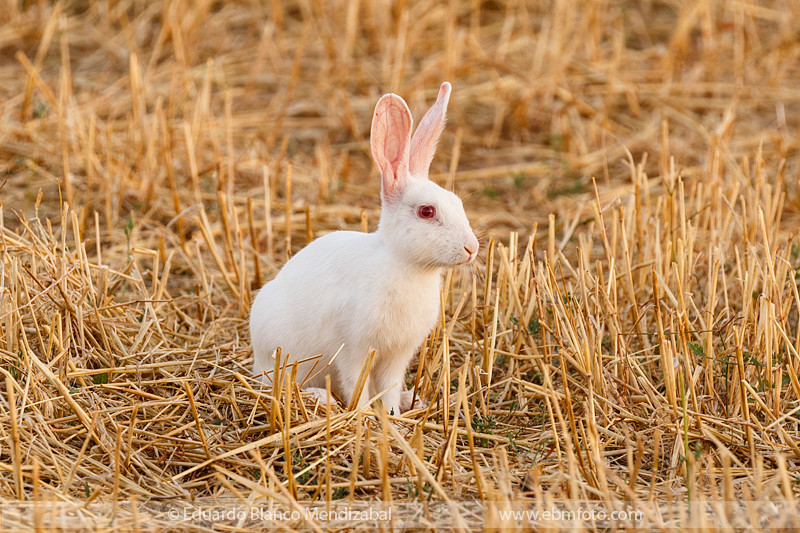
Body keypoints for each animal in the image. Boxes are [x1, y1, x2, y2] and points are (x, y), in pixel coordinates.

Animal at [250, 82, 478, 416]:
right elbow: (357, 381)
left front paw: (393, 414)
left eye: (458, 202)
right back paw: (319, 397)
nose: (471, 248)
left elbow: (389, 386)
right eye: (426, 211)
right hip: (282, 357)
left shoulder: (397, 355)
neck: (404, 265)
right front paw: (365, 414)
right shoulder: (354, 349)